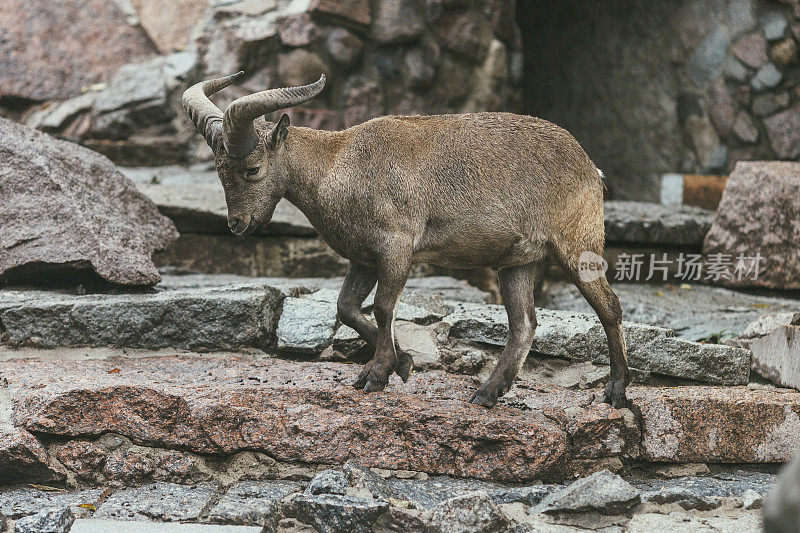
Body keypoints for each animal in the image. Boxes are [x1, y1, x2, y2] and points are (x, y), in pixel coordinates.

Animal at [183, 71, 632, 408]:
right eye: (220, 171)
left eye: (253, 169)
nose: (238, 224)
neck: (336, 165)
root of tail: (590, 167)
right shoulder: (364, 258)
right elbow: (347, 308)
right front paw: (405, 363)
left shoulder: (396, 247)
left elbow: (383, 307)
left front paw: (377, 374)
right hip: (516, 261)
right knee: (524, 323)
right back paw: (488, 392)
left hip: (577, 243)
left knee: (608, 307)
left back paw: (616, 390)